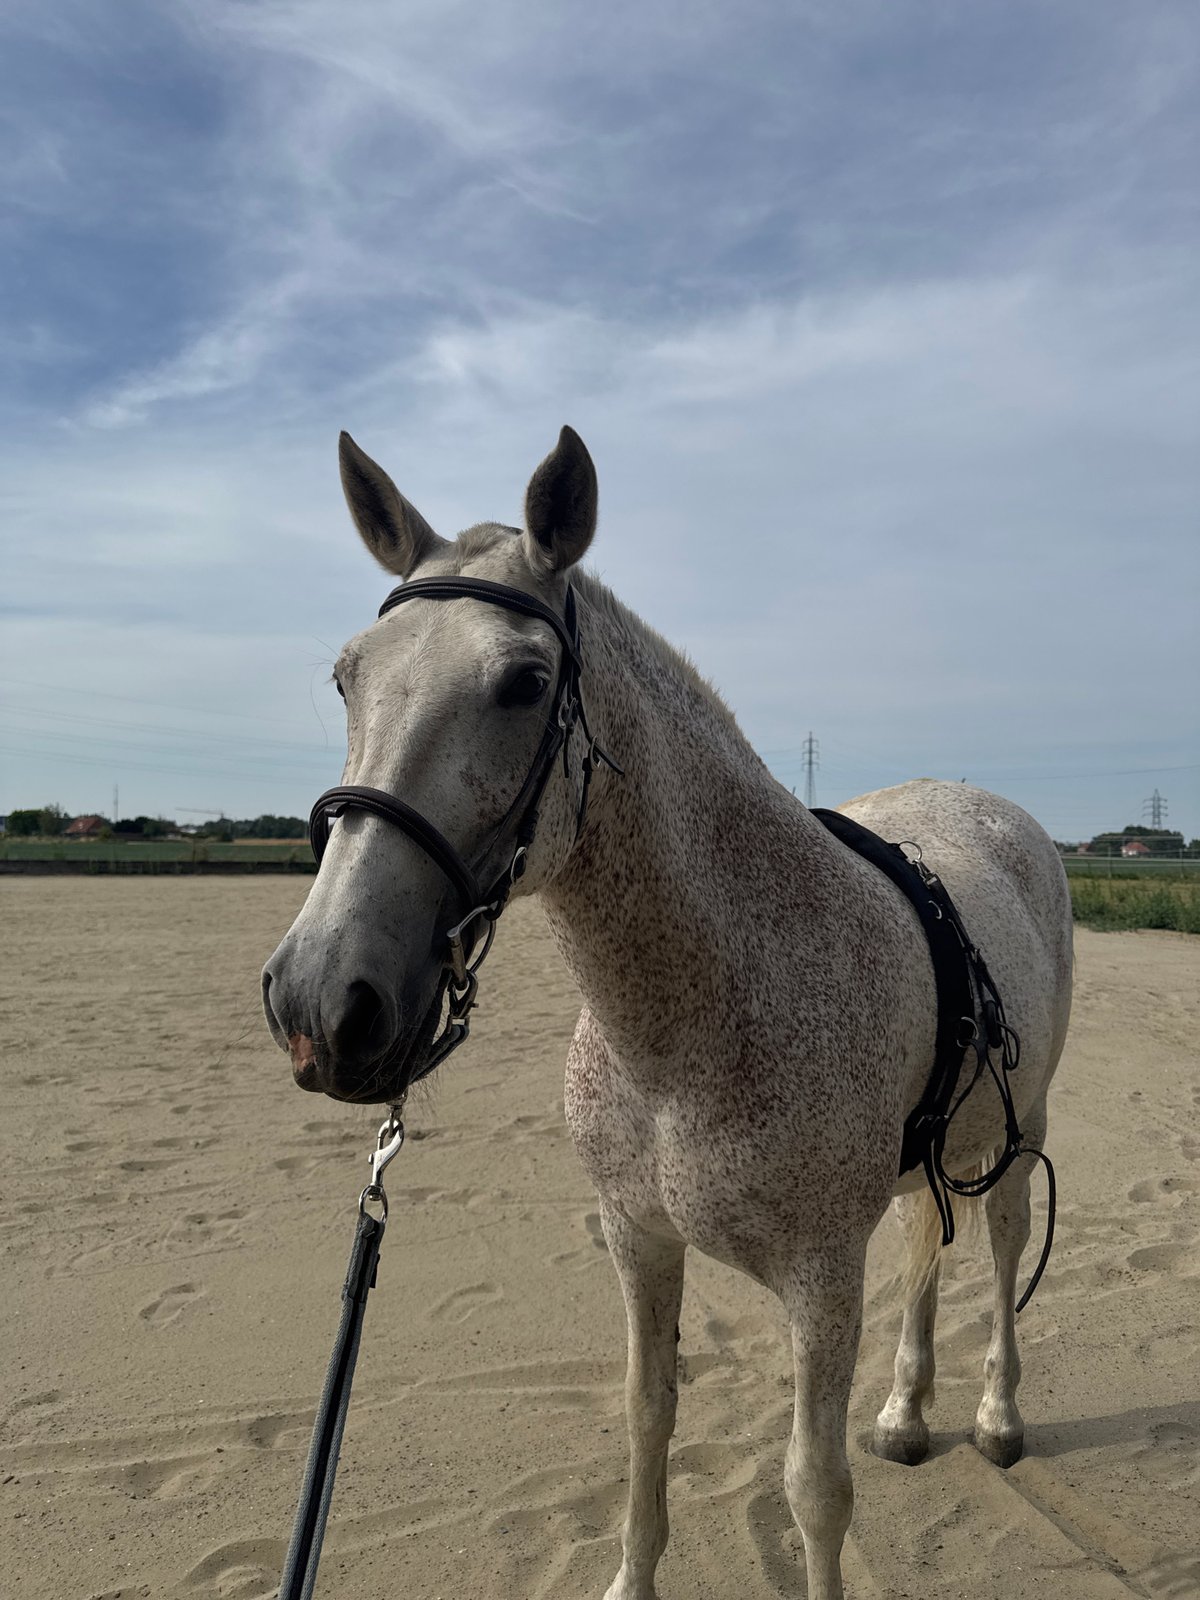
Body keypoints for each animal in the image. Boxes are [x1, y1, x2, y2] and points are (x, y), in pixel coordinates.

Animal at [262, 425, 1073, 1600]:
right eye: (346, 678)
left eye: (525, 681)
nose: (323, 1000)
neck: (695, 1029)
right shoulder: (639, 1239)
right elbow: (649, 1420)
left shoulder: (822, 1280)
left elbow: (814, 1489)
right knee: (933, 1243)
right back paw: (906, 1411)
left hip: (1023, 1129)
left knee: (1005, 1246)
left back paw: (999, 1416)